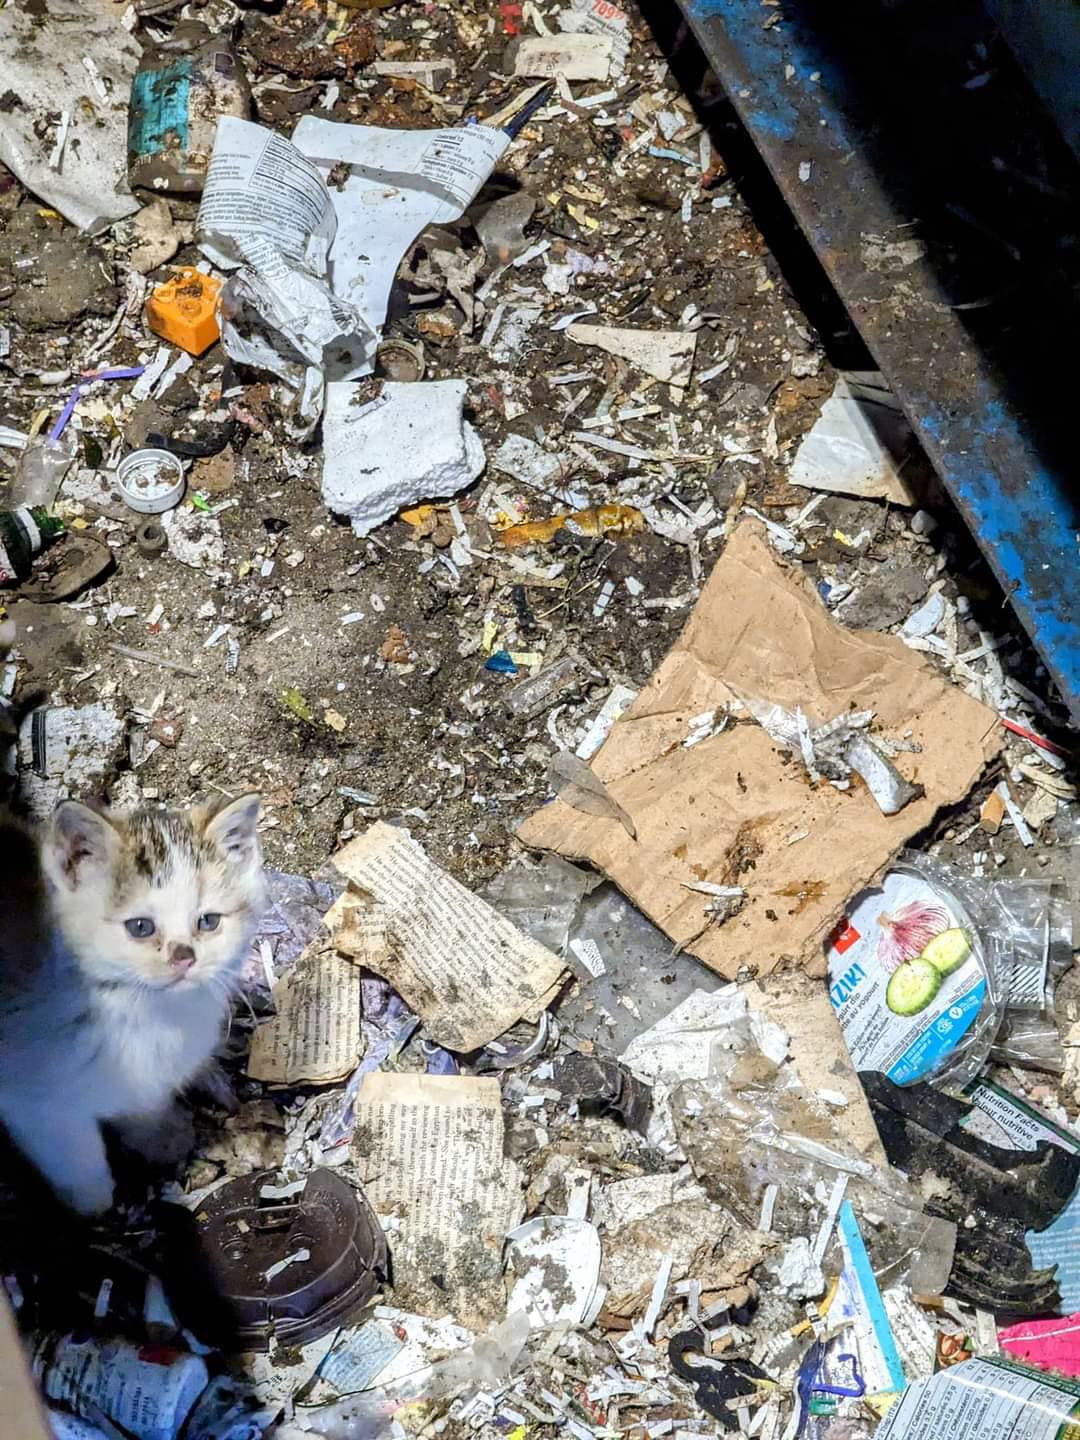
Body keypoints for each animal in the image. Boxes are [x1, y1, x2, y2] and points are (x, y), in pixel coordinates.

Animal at [0, 628, 265, 1215]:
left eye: (208, 921)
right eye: (140, 928)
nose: (185, 957)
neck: (141, 1011)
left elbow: (141, 1106)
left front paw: (162, 1137)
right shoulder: (31, 1100)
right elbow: (73, 1154)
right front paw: (95, 1209)